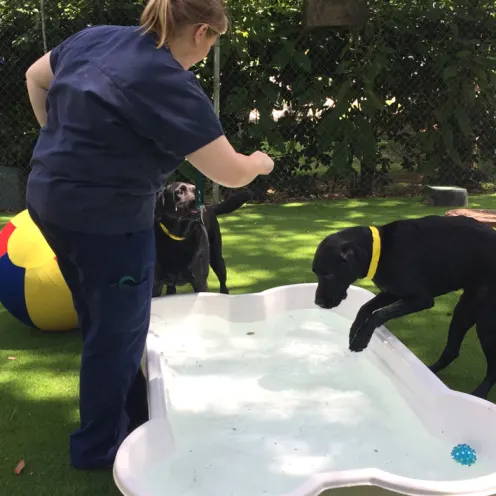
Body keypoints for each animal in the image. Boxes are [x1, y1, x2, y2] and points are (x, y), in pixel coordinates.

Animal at [314, 215, 496, 402]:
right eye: (316, 273)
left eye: (329, 275)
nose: (318, 302)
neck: (383, 251)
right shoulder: (392, 292)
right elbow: (365, 308)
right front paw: (354, 331)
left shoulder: (421, 299)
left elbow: (377, 314)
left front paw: (361, 340)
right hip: (464, 311)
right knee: (452, 351)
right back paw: (431, 371)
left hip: (486, 323)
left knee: (493, 366)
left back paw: (480, 392)